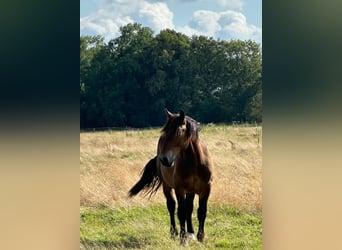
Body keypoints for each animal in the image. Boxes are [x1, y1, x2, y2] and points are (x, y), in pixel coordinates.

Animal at [129, 108, 214, 245]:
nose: (165, 159)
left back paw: (191, 233)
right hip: (167, 186)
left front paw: (200, 237)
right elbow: (181, 212)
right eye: (164, 132)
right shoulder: (179, 189)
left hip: (190, 191)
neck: (194, 163)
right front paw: (183, 239)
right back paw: (174, 232)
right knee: (172, 206)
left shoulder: (206, 189)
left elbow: (201, 211)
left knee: (189, 208)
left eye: (179, 131)